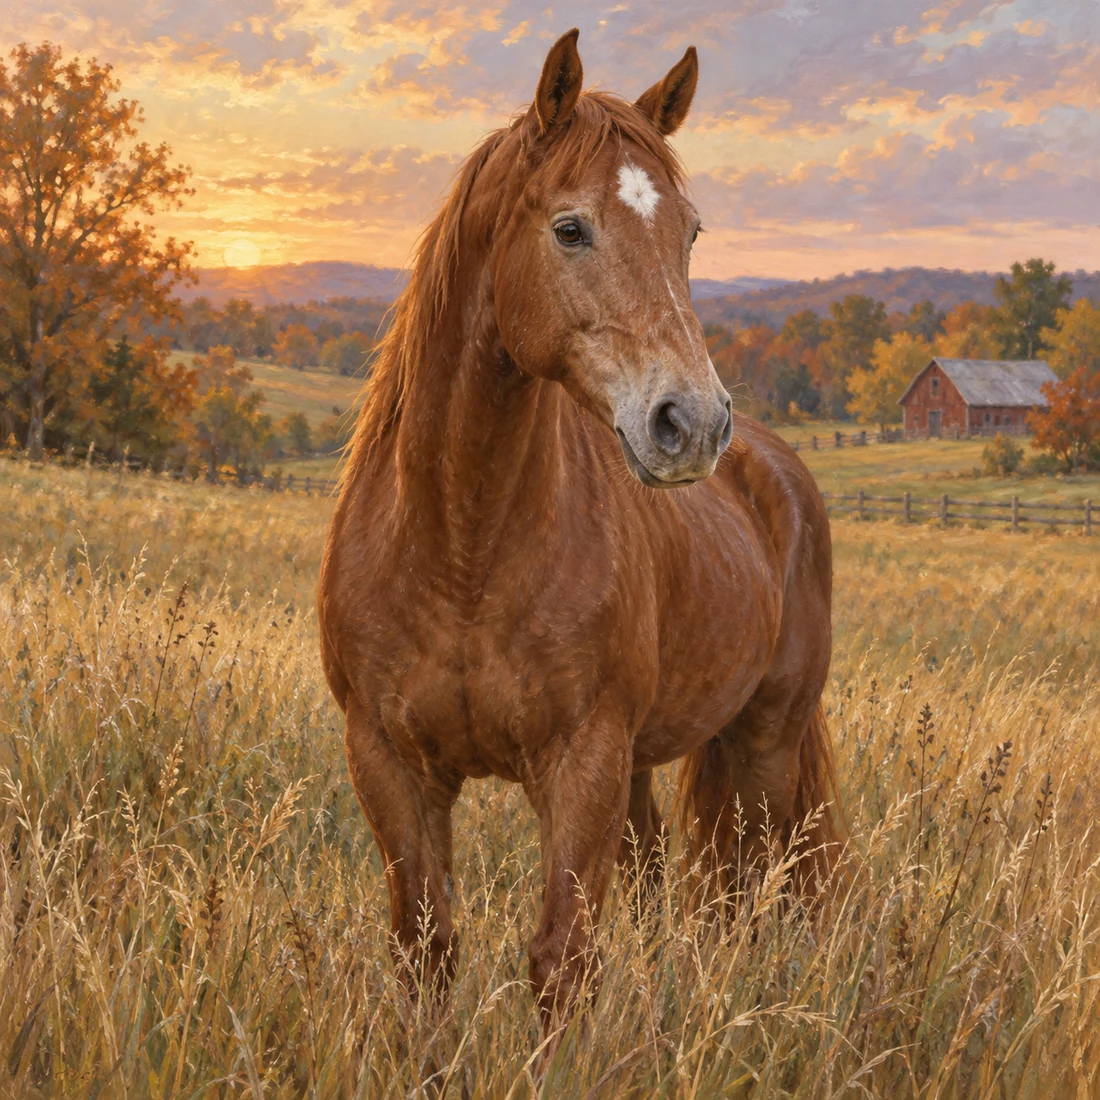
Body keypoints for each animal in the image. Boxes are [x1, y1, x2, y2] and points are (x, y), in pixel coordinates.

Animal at [318, 29, 840, 1040]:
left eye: (689, 233)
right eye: (570, 229)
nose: (692, 424)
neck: (461, 548)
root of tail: (777, 470)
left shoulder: (579, 763)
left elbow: (561, 961)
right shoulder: (390, 765)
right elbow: (426, 952)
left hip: (763, 747)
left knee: (750, 896)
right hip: (644, 769)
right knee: (663, 886)